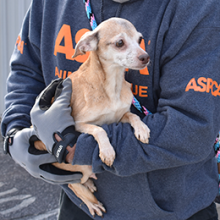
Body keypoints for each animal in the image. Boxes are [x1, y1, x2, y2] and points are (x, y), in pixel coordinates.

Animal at [35, 17, 150, 217]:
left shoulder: (120, 116)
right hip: (75, 172)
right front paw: (107, 151)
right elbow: (99, 130)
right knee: (73, 185)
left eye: (140, 39)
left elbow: (133, 116)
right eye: (120, 43)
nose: (146, 57)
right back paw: (91, 201)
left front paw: (142, 129)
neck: (112, 85)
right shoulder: (79, 124)